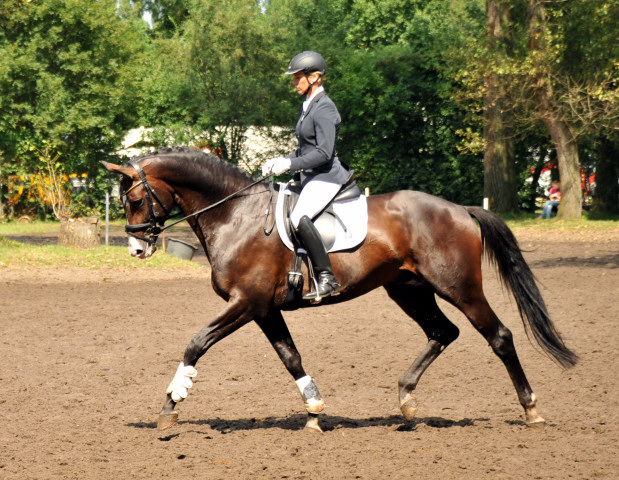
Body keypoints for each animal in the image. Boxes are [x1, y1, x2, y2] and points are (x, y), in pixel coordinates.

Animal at [103, 146, 580, 432]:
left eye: (136, 200)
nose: (136, 249)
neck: (236, 216)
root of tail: (459, 209)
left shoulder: (246, 303)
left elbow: (196, 343)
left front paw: (171, 404)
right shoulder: (263, 309)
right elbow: (290, 356)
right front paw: (314, 412)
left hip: (458, 286)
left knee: (498, 336)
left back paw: (531, 410)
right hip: (408, 289)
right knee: (443, 332)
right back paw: (406, 400)